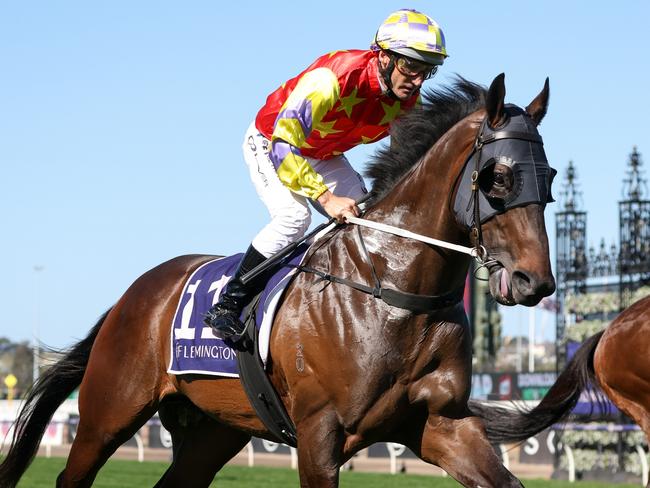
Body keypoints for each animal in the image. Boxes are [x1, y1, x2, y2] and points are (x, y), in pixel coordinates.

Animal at [2, 73, 556, 488]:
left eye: (548, 178)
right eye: (499, 178)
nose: (536, 282)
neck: (395, 292)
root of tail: (131, 295)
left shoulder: (440, 423)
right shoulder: (318, 434)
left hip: (212, 429)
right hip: (109, 411)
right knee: (73, 475)